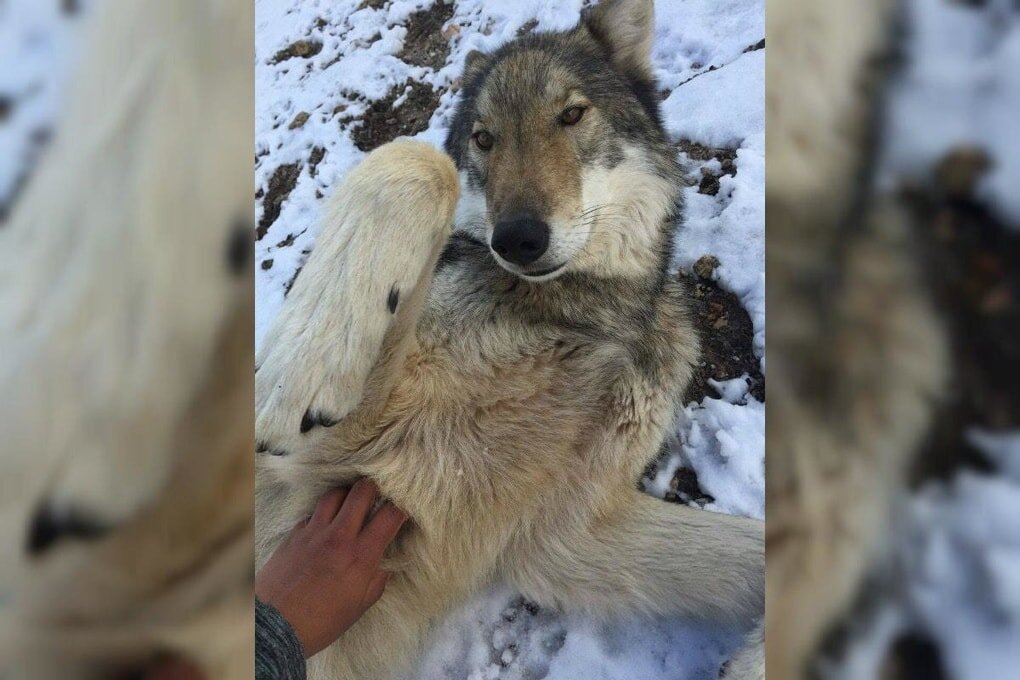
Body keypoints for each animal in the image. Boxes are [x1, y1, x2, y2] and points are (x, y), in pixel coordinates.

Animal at [255, 1, 767, 680]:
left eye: (571, 114)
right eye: (484, 139)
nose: (517, 238)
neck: (581, 312)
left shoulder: (566, 537)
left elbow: (764, 548)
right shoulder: (329, 461)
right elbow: (417, 160)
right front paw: (300, 368)